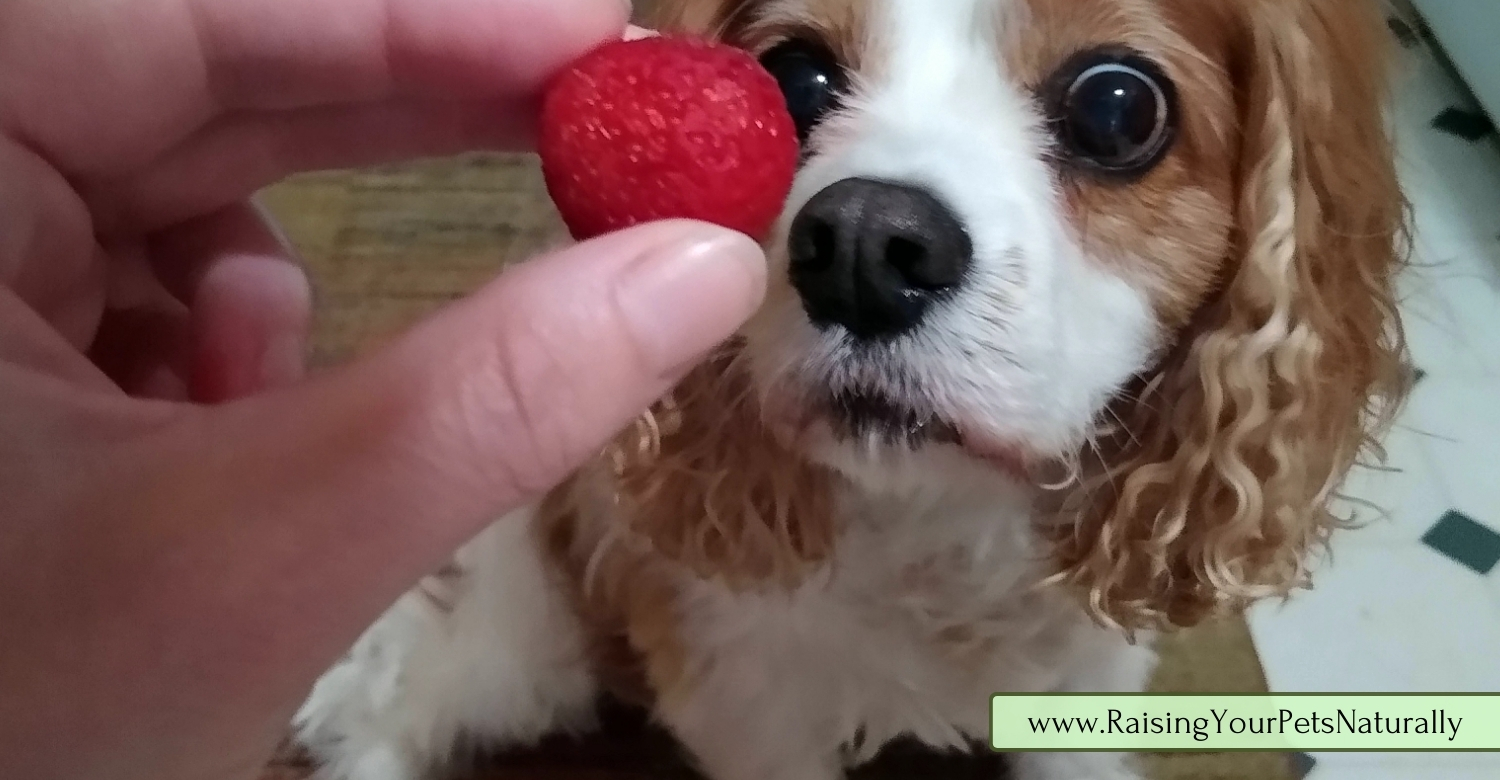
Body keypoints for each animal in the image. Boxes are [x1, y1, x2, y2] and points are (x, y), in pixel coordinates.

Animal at [292, 0, 1404, 774]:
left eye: (1118, 107)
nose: (865, 246)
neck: (933, 522)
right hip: (519, 638)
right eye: (791, 75)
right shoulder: (748, 709)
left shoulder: (1086, 676)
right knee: (396, 702)